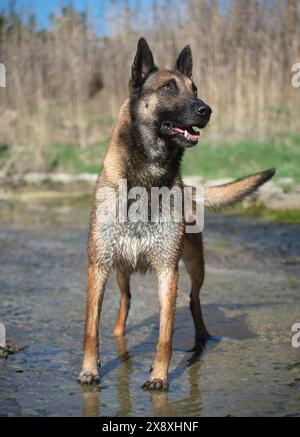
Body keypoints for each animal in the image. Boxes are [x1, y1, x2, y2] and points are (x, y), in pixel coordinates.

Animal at [78, 37, 276, 390]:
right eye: (168, 87)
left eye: (195, 88)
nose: (206, 110)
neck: (147, 181)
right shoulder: (98, 266)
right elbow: (91, 327)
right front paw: (90, 369)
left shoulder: (168, 272)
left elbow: (166, 333)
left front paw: (159, 376)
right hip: (121, 269)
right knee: (125, 301)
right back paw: (118, 334)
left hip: (195, 266)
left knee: (193, 300)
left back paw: (203, 337)